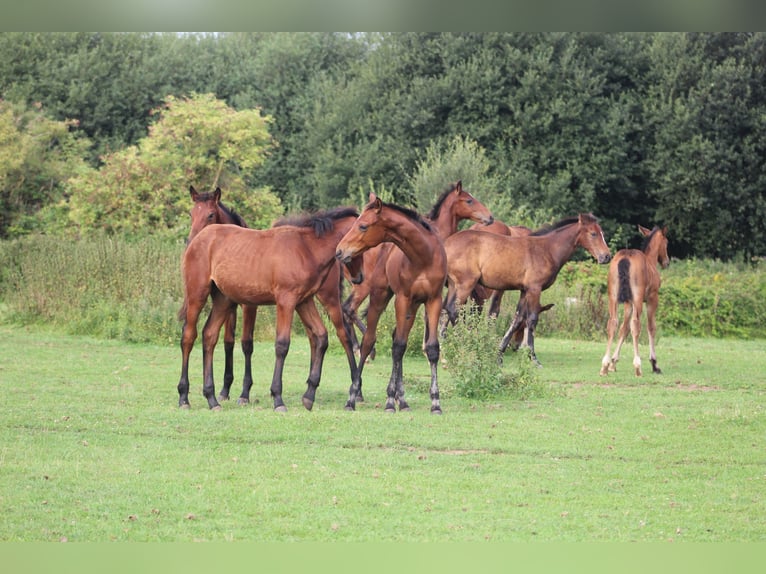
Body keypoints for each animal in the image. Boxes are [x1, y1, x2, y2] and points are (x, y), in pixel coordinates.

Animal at [187, 185, 362, 406]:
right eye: (191, 214)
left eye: (210, 214)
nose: (359, 277)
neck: (306, 248)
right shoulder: (288, 301)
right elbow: (277, 343)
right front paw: (275, 396)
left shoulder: (293, 301)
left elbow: (273, 343)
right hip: (200, 296)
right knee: (191, 336)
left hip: (327, 299)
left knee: (341, 335)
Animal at [335, 194, 448, 414]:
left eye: (363, 226)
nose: (339, 251)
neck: (424, 256)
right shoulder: (402, 298)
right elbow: (397, 348)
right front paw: (389, 400)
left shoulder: (434, 300)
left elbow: (431, 348)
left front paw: (436, 403)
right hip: (380, 297)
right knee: (369, 341)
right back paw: (353, 397)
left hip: (413, 306)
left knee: (398, 336)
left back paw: (402, 400)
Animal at [341, 180, 493, 369]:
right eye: (469, 200)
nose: (489, 217)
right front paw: (436, 353)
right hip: (366, 286)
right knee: (350, 309)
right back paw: (365, 351)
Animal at [442, 213, 612, 365]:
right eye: (593, 233)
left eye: (602, 233)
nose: (607, 257)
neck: (547, 250)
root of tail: (446, 245)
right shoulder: (535, 289)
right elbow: (532, 319)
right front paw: (533, 357)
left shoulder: (524, 290)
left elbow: (518, 319)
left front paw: (499, 355)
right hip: (466, 284)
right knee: (453, 310)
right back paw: (465, 344)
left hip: (453, 286)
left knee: (446, 309)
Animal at [600, 225, 669, 377]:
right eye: (666, 243)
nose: (666, 262)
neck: (650, 260)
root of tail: (626, 257)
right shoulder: (651, 299)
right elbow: (651, 327)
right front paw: (654, 364)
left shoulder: (628, 303)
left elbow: (623, 329)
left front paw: (613, 362)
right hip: (638, 299)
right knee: (636, 325)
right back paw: (638, 366)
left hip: (613, 297)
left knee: (612, 323)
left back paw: (604, 366)